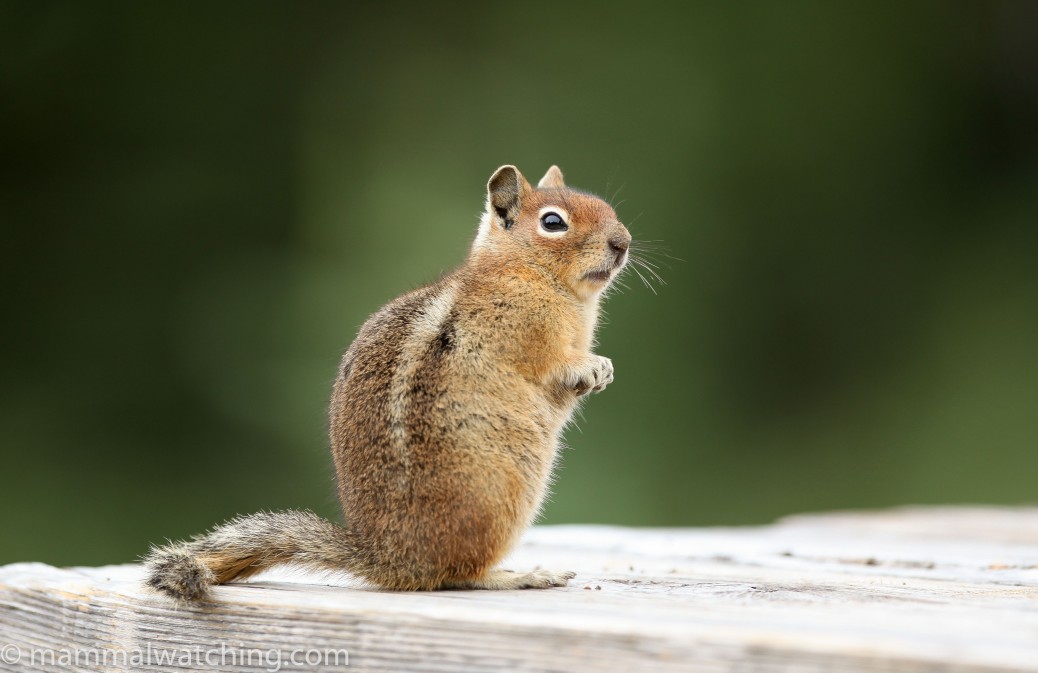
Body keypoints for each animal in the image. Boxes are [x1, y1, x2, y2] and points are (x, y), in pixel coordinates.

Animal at [144, 164, 631, 598]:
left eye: (607, 209)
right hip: (499, 501)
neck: (532, 275)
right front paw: (591, 366)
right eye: (553, 222)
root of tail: (390, 559)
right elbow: (552, 364)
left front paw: (602, 369)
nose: (623, 242)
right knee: (459, 575)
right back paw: (522, 575)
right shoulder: (525, 335)